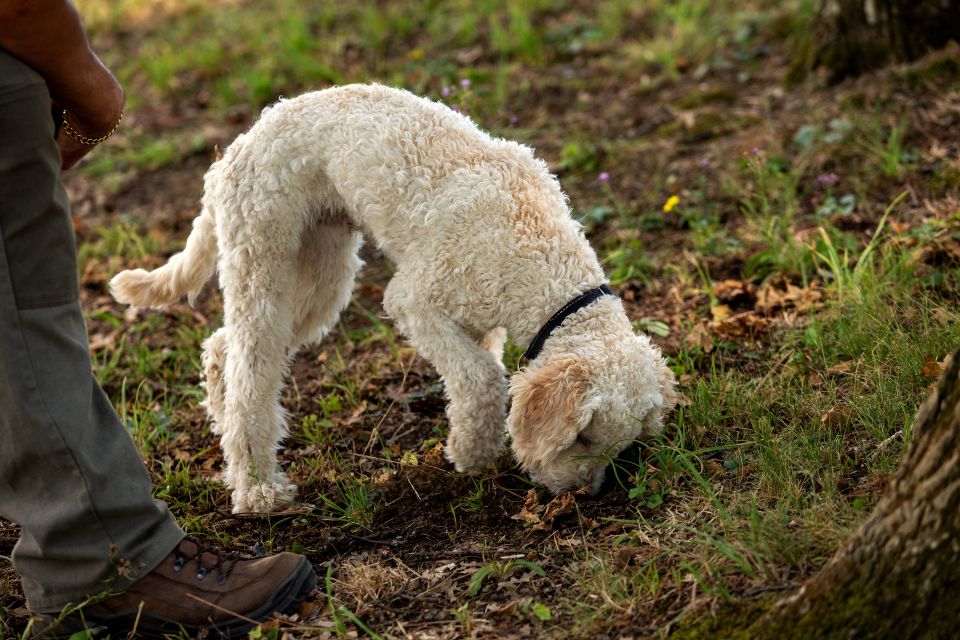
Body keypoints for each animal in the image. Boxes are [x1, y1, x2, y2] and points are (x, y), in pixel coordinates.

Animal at [110, 84, 676, 516]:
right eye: (581, 439)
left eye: (618, 448)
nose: (582, 496)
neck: (534, 252)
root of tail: (241, 143)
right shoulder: (414, 301)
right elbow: (481, 378)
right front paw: (471, 454)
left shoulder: (480, 323)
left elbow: (477, 375)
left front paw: (476, 438)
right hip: (263, 263)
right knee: (251, 375)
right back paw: (257, 489)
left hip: (322, 276)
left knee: (223, 347)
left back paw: (221, 420)